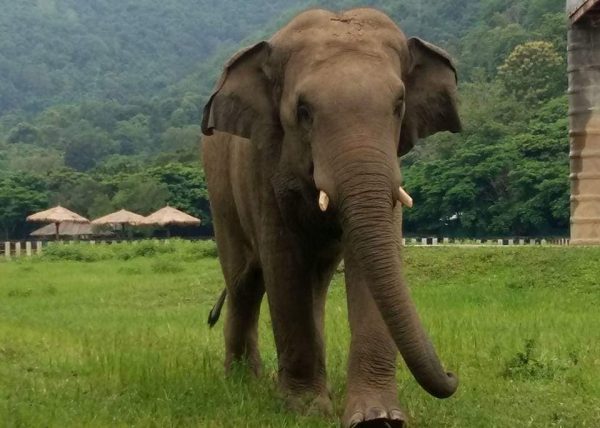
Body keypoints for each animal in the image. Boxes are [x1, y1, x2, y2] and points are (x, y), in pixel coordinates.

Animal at [200, 7, 460, 428]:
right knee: (244, 281)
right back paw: (244, 384)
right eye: (303, 111)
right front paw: (306, 409)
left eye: (399, 105)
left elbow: (369, 262)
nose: (453, 375)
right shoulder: (263, 166)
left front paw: (377, 418)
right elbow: (283, 266)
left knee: (315, 283)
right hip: (220, 192)